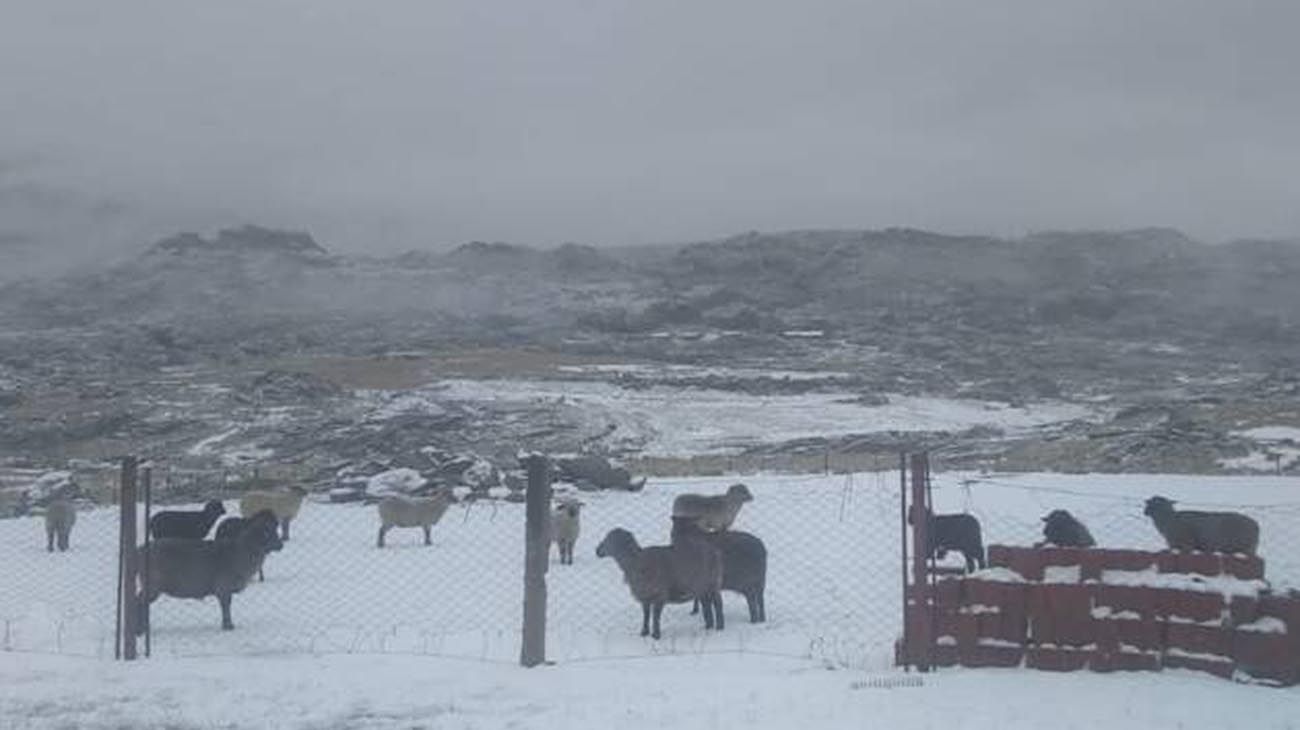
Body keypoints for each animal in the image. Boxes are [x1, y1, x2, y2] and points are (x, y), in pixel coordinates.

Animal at [135, 506, 280, 631]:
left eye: (275, 528)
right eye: (267, 532)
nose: (281, 544)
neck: (240, 552)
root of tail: (140, 551)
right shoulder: (223, 586)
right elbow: (226, 606)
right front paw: (228, 626)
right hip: (152, 584)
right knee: (140, 602)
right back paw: (141, 629)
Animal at [595, 522, 728, 636]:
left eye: (608, 538)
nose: (597, 550)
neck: (635, 562)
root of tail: (715, 552)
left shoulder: (659, 594)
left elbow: (655, 616)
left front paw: (656, 635)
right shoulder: (645, 597)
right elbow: (646, 615)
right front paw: (644, 633)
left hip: (712, 583)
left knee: (718, 604)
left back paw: (719, 628)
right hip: (701, 587)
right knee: (706, 605)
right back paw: (708, 627)